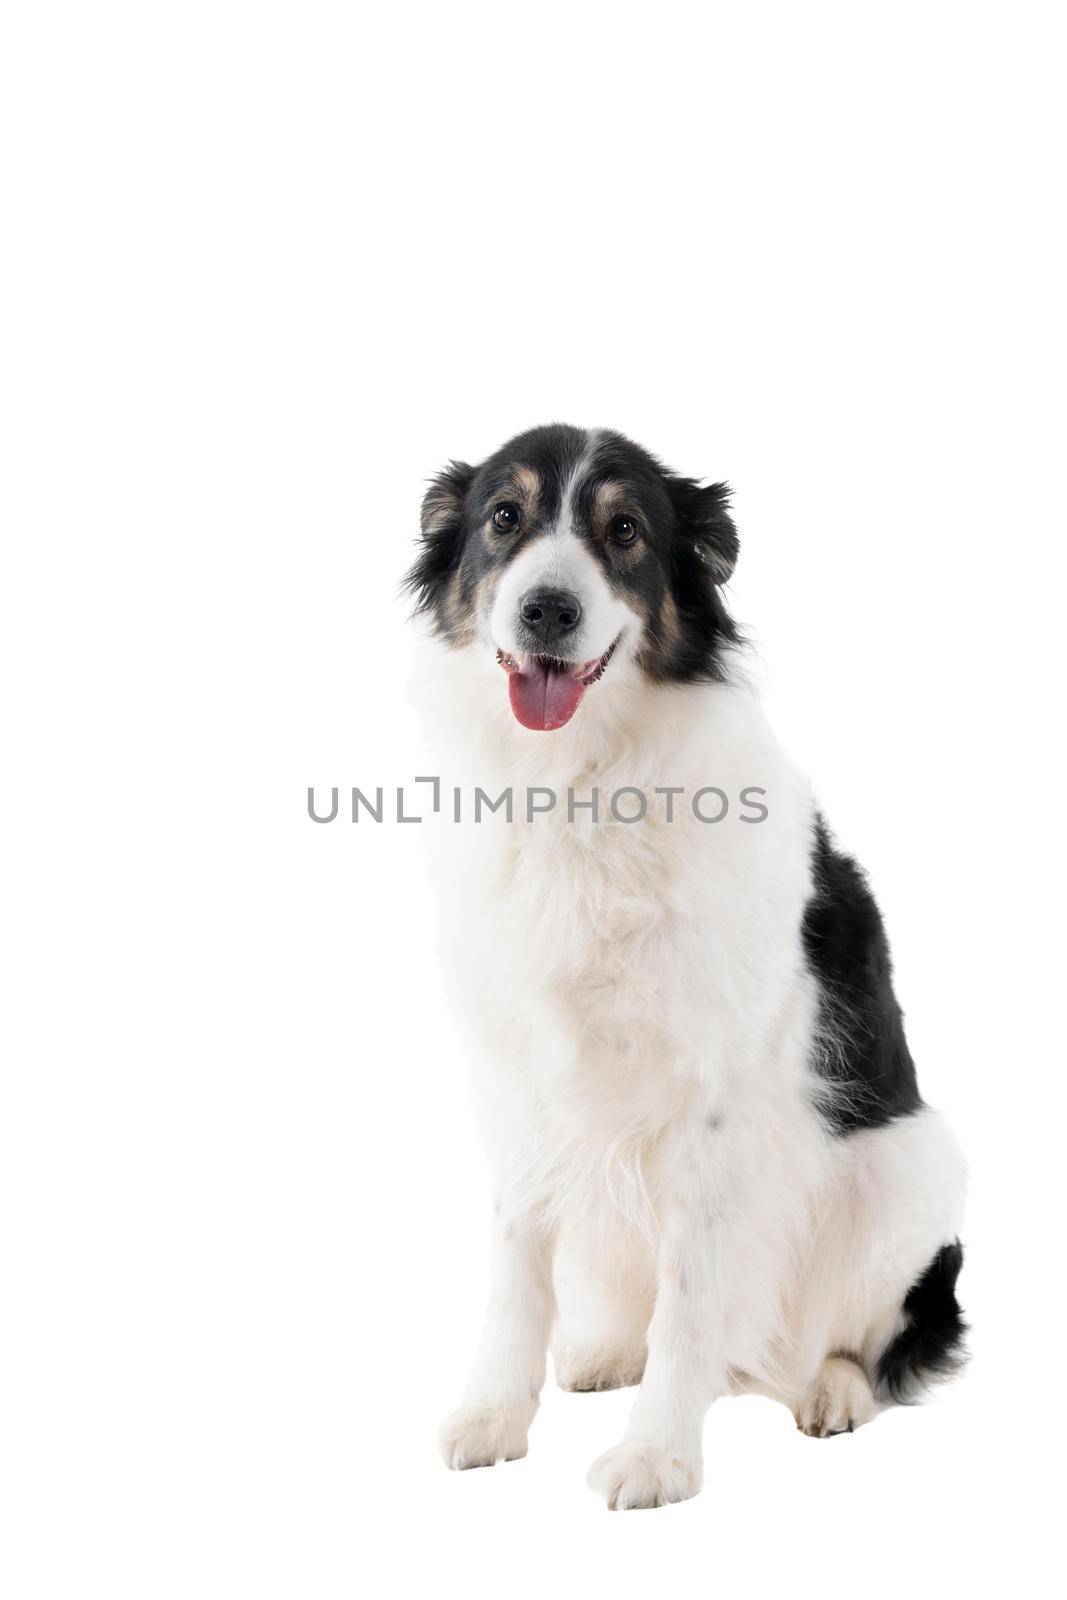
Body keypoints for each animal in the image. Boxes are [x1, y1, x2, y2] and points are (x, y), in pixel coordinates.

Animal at [404, 425, 972, 1510]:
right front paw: (494, 1413)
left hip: (912, 1169)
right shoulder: (514, 1081)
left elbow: (691, 1295)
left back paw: (828, 1389)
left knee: (872, 1337)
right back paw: (604, 1350)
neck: (576, 784)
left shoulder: (717, 1102)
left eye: (624, 529)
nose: (547, 609)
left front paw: (657, 1455)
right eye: (503, 516)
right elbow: (514, 1271)